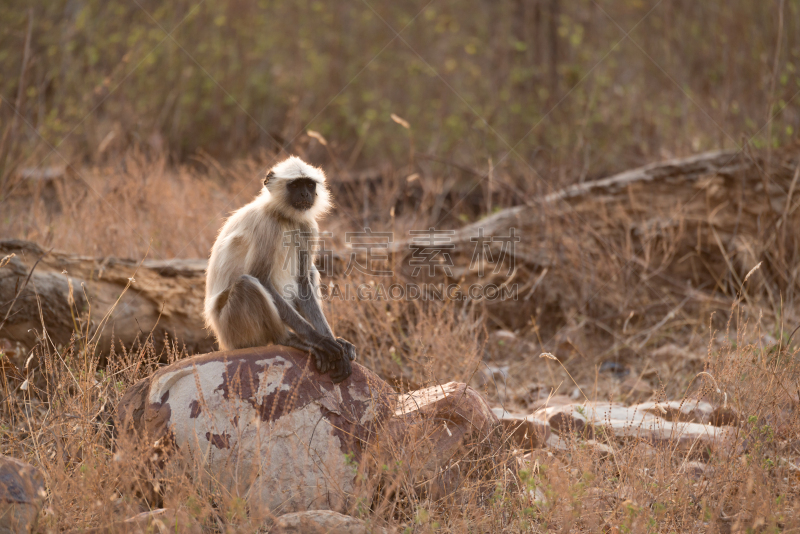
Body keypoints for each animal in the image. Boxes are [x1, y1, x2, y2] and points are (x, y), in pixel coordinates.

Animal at [205, 157, 358, 384]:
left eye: (309, 185)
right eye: (295, 185)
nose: (305, 195)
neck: (284, 217)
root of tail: (222, 340)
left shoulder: (308, 226)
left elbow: (302, 281)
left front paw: (334, 344)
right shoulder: (266, 225)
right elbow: (261, 278)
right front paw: (319, 340)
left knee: (310, 271)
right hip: (232, 331)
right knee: (247, 284)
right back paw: (290, 340)